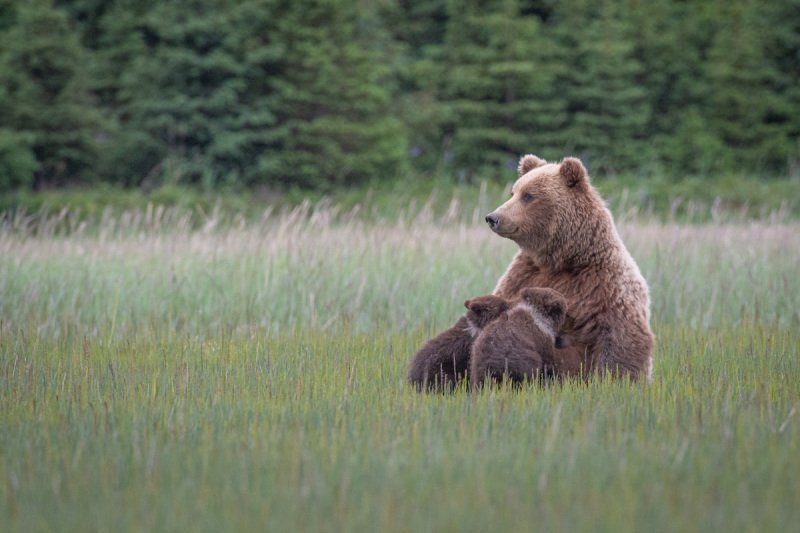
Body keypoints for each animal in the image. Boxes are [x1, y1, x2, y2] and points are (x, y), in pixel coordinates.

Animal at [410, 154, 652, 386]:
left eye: (528, 195)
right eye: (513, 192)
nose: (492, 217)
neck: (560, 259)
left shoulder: (602, 283)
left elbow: (619, 338)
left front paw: (615, 381)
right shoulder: (522, 275)